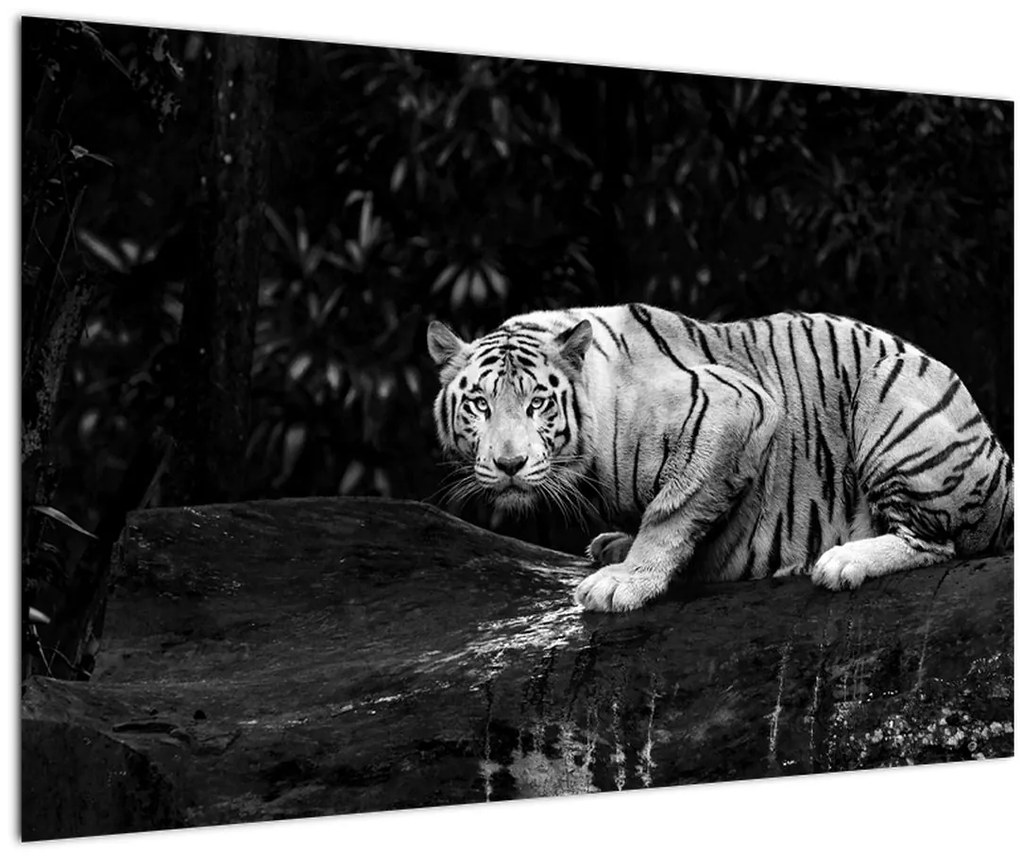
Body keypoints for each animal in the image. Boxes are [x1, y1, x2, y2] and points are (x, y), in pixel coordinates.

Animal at [426, 304, 1013, 612]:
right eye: (480, 404)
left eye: (537, 403)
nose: (509, 464)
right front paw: (617, 547)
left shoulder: (736, 408)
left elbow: (671, 512)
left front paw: (624, 581)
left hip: (889, 397)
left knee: (937, 542)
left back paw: (841, 561)